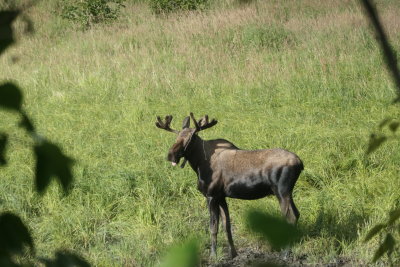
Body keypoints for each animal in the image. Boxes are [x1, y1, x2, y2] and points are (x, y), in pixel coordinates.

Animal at [156, 113, 304, 260]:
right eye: (177, 136)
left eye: (191, 138)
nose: (171, 155)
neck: (198, 163)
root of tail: (300, 163)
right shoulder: (221, 196)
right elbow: (226, 225)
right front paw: (233, 253)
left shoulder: (211, 195)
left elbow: (213, 227)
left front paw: (213, 255)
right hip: (287, 192)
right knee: (297, 214)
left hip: (281, 191)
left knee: (290, 218)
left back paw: (285, 254)